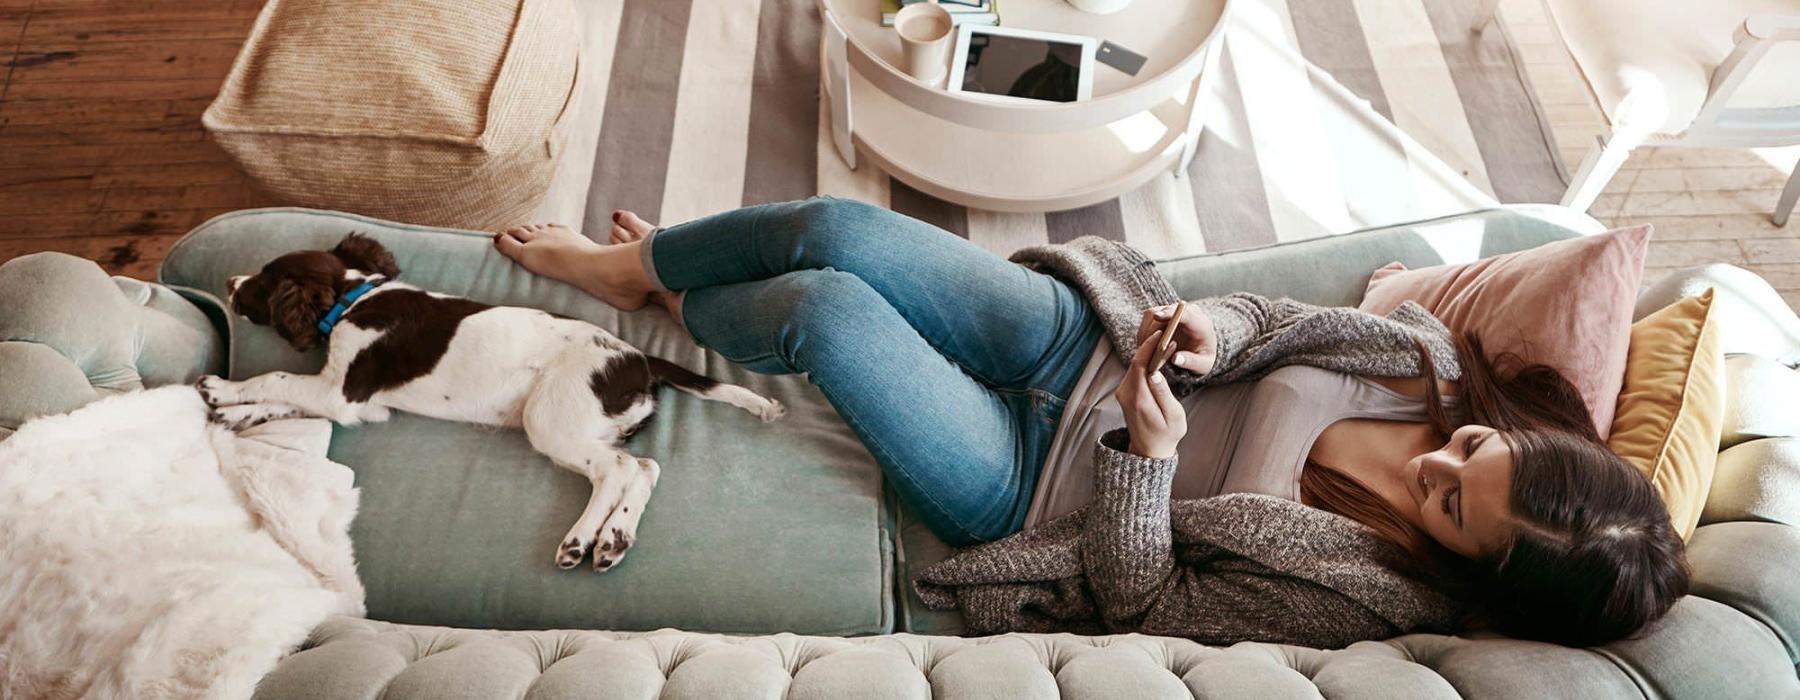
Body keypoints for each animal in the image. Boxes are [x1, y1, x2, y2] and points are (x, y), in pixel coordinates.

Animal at [200, 232, 784, 568]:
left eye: (262, 283)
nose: (228, 280)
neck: (354, 297)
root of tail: (638, 358)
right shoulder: (356, 401)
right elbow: (285, 399)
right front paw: (235, 412)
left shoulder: (343, 391)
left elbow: (279, 377)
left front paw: (225, 390)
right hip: (593, 425)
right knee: (644, 467)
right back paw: (614, 538)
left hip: (551, 418)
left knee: (616, 470)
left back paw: (581, 540)